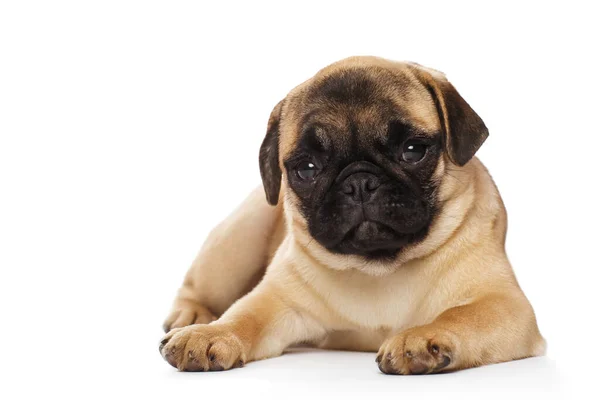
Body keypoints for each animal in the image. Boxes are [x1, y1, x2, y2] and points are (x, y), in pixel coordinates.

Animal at [158, 54, 544, 374]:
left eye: (413, 151)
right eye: (307, 168)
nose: (359, 182)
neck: (380, 268)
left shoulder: (503, 305)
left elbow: (461, 315)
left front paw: (420, 338)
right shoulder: (278, 301)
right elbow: (244, 315)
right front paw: (209, 333)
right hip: (239, 239)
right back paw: (190, 316)